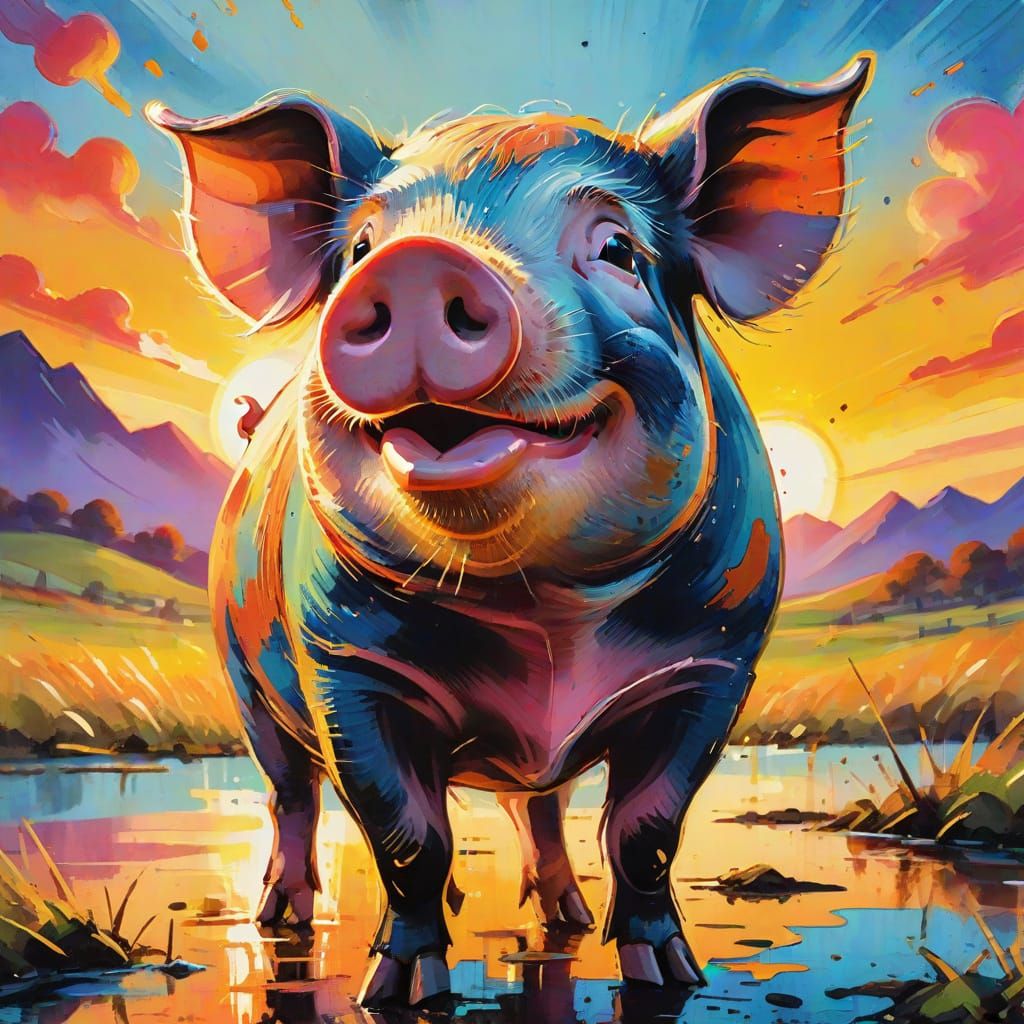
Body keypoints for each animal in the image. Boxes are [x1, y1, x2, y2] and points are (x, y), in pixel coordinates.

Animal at [148, 53, 870, 1008]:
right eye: (360, 250)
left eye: (618, 250)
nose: (420, 264)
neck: (544, 614)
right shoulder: (344, 665)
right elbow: (409, 837)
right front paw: (399, 992)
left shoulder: (715, 665)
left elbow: (646, 828)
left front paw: (668, 974)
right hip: (243, 678)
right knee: (291, 796)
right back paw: (282, 919)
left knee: (542, 805)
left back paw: (564, 917)